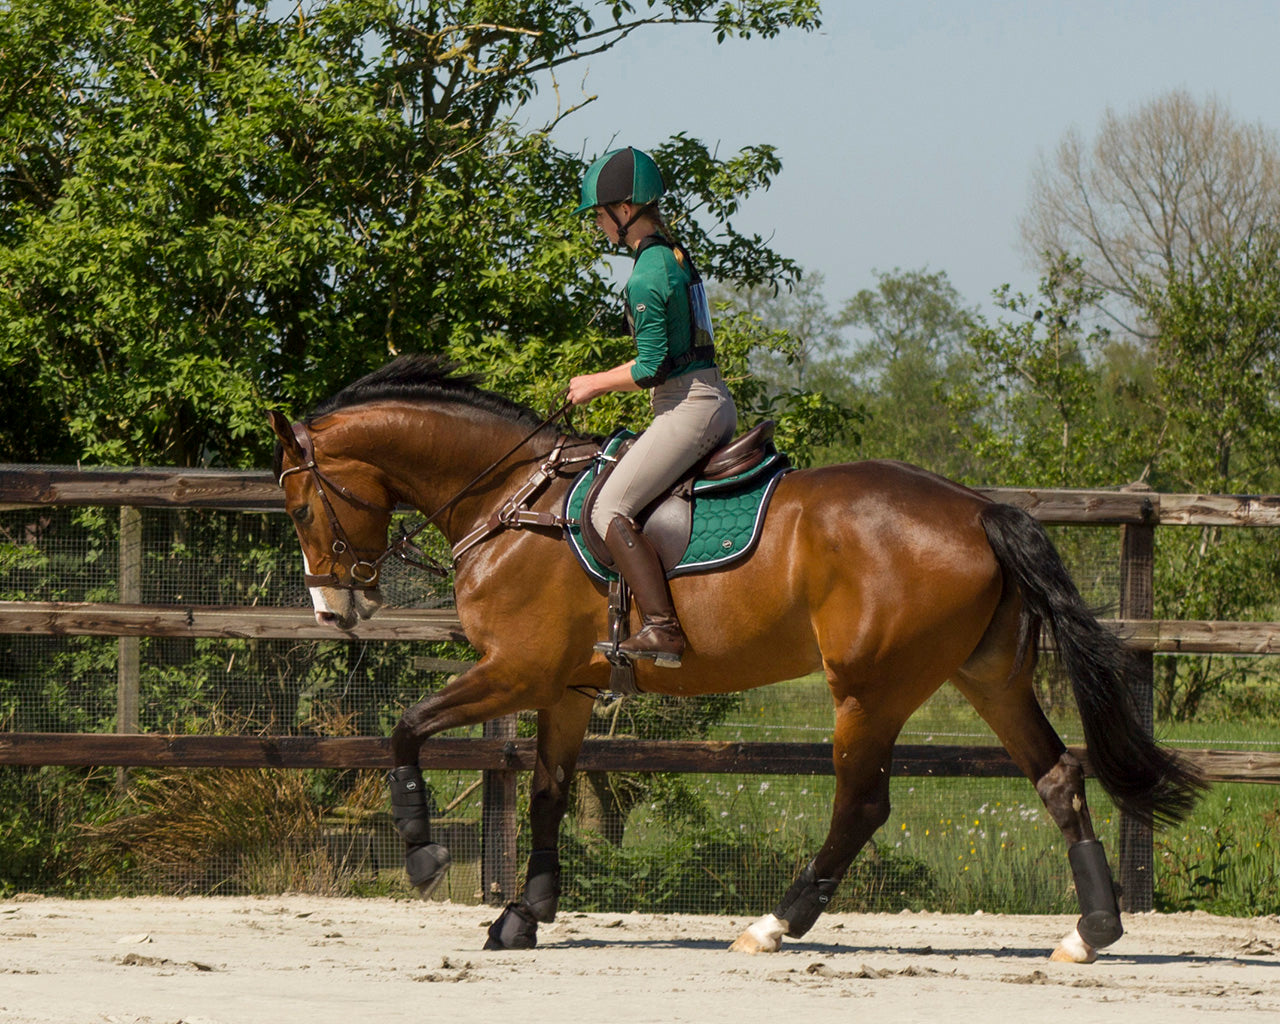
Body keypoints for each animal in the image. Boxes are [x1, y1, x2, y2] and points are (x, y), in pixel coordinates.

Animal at [267, 353, 1198, 962]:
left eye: (302, 505)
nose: (334, 608)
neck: (512, 500)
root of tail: (976, 509)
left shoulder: (515, 671)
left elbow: (406, 729)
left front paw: (423, 855)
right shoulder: (565, 690)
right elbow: (546, 795)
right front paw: (524, 916)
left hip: (868, 691)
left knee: (861, 805)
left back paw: (773, 925)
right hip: (988, 677)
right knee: (1056, 776)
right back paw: (1091, 932)